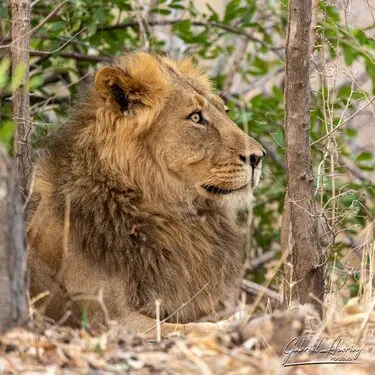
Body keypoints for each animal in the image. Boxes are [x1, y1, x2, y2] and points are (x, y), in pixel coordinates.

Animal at [26, 52, 266, 338]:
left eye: (225, 112)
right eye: (196, 118)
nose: (258, 157)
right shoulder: (106, 319)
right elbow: (190, 329)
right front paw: (237, 322)